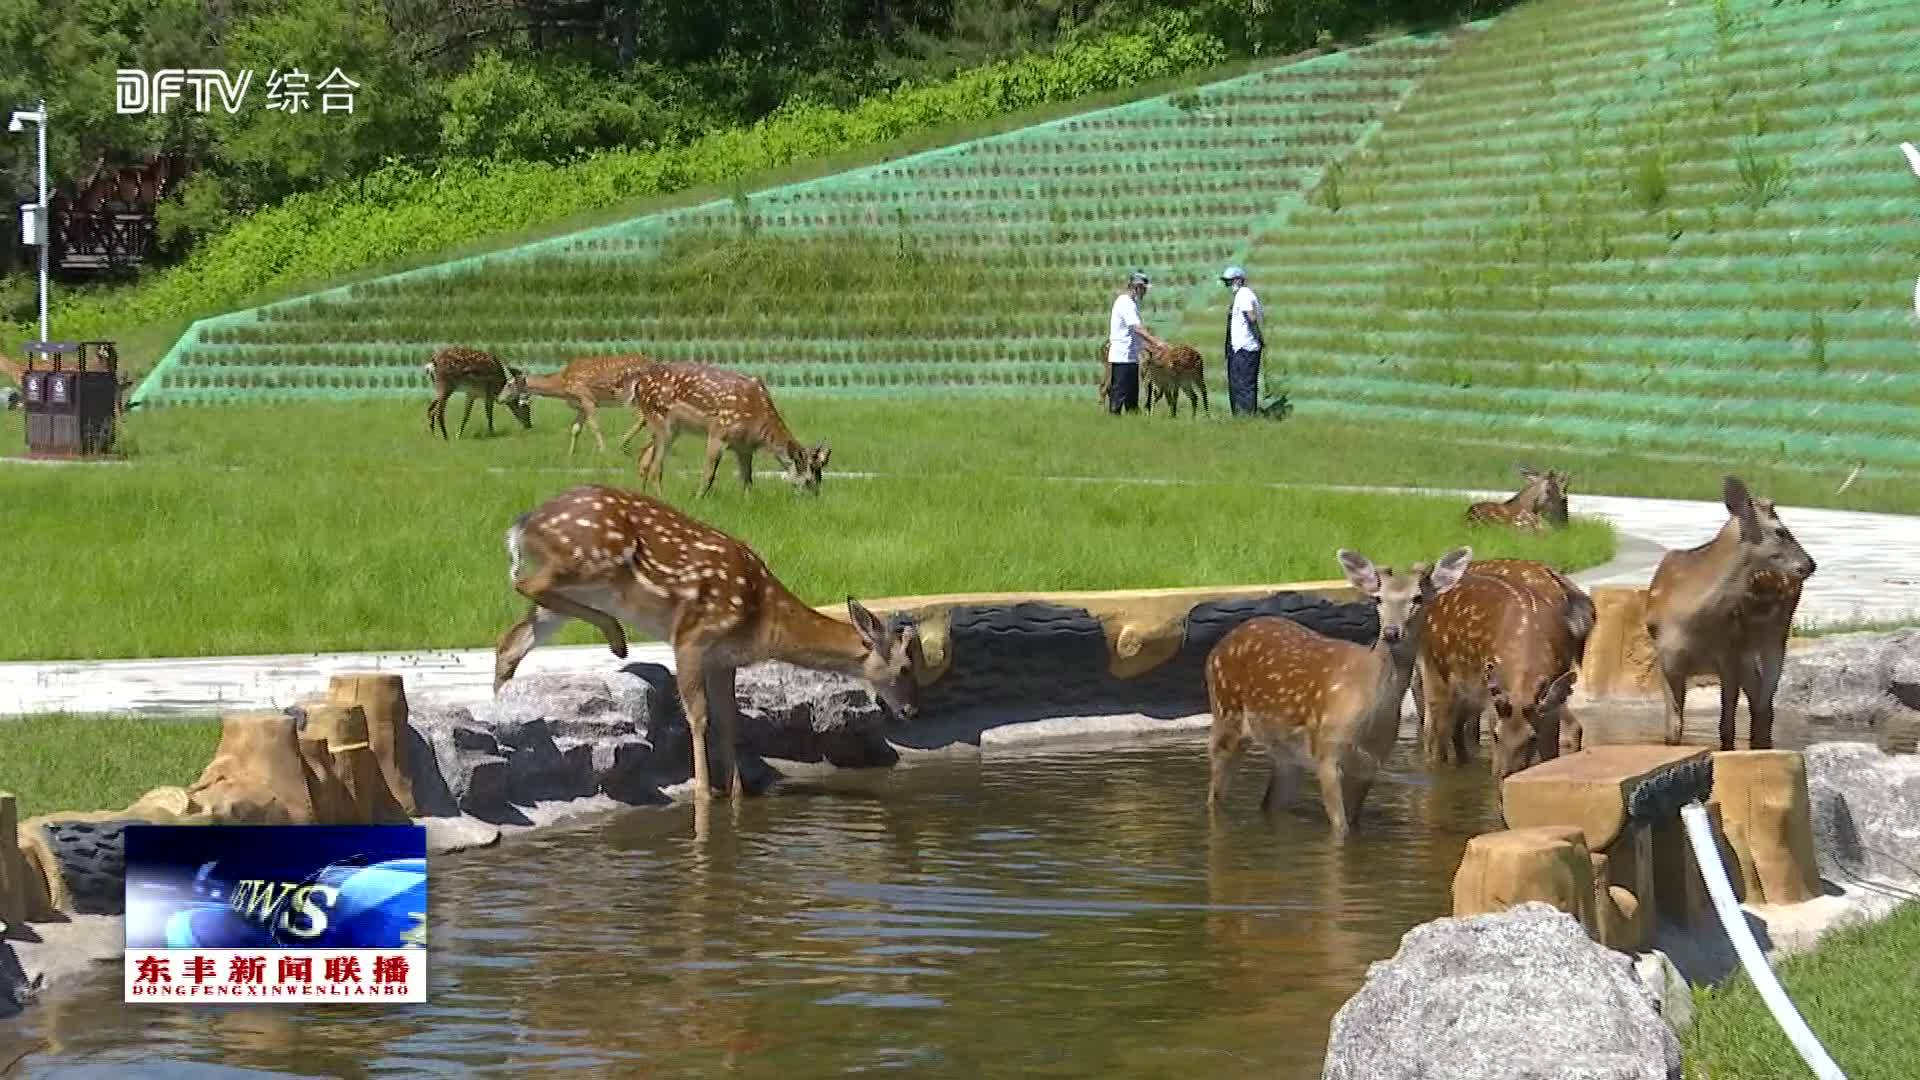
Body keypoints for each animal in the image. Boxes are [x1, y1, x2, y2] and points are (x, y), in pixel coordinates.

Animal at [495, 353, 660, 453]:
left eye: (509, 384)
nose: (498, 398)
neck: (562, 385)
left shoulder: (587, 398)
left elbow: (594, 426)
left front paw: (602, 450)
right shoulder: (580, 405)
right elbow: (575, 428)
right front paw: (571, 453)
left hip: (629, 395)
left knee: (643, 418)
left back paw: (622, 444)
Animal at [499, 484, 925, 795]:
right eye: (905, 667)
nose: (911, 711)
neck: (764, 621)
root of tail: (522, 524)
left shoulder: (725, 659)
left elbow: (729, 721)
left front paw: (737, 792)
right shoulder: (691, 637)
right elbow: (699, 716)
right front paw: (706, 793)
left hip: (575, 590)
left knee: (511, 641)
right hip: (588, 559)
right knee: (524, 583)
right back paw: (616, 637)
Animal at [614, 361, 825, 495]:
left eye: (820, 476)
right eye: (808, 480)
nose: (815, 496)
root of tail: (638, 384)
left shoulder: (744, 448)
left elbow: (747, 480)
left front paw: (748, 502)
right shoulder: (718, 432)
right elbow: (709, 475)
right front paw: (698, 498)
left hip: (671, 428)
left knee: (645, 457)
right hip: (660, 419)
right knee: (655, 467)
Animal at [1205, 541, 1474, 837]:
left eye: (1417, 598)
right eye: (1377, 598)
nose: (1392, 632)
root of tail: (1220, 645)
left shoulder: (1370, 764)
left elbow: (1353, 826)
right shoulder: (1327, 751)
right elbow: (1341, 829)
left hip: (1287, 753)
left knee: (1268, 803)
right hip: (1225, 712)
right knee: (1214, 796)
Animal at [1651, 474, 1812, 745]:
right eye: (1780, 531)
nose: (1810, 564)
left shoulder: (1728, 654)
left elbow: (1726, 729)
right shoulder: (1666, 659)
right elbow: (1672, 732)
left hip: (1776, 633)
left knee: (1764, 705)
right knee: (1760, 702)